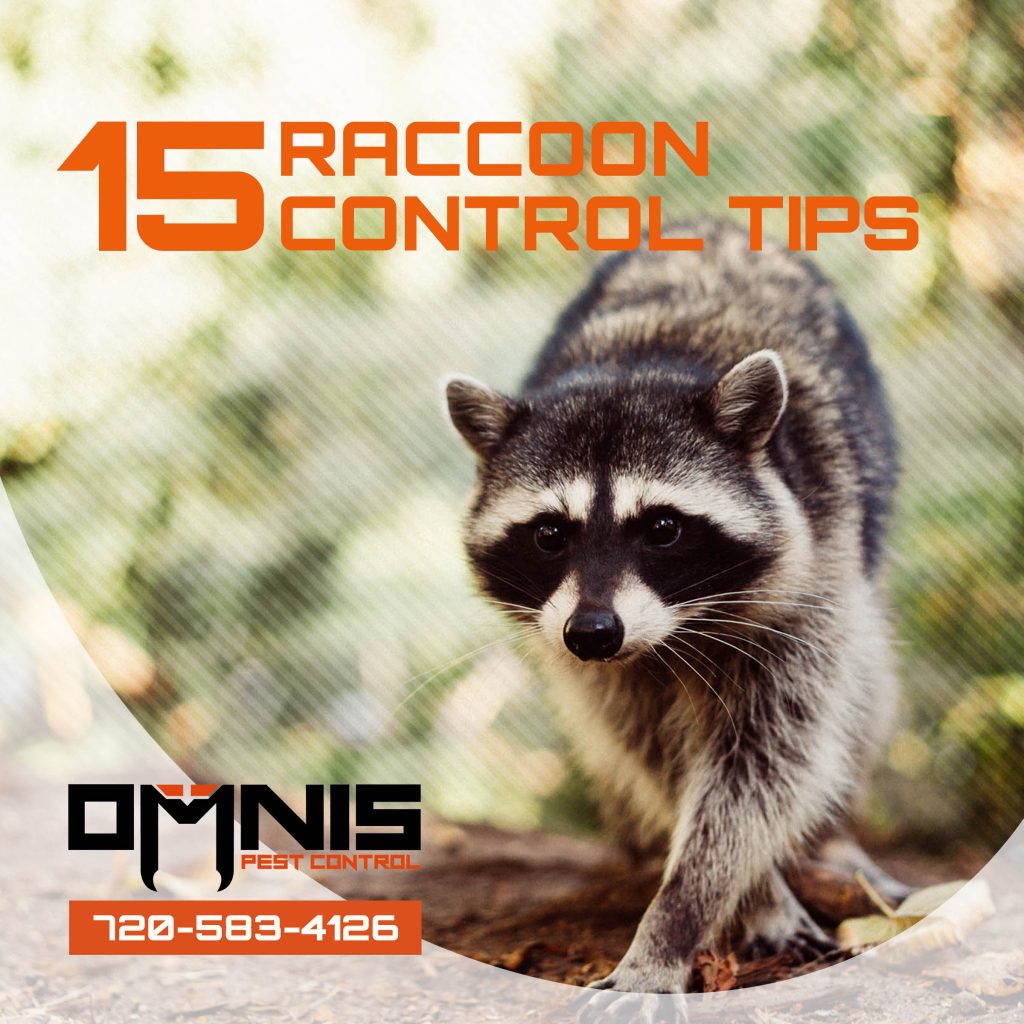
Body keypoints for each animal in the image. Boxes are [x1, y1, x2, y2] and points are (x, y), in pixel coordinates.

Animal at [445, 218, 901, 995]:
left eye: (662, 529)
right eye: (549, 535)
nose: (593, 632)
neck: (639, 366)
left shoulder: (811, 580)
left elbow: (763, 763)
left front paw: (681, 913)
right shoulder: (595, 665)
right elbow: (656, 753)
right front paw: (752, 895)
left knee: (863, 694)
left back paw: (834, 839)